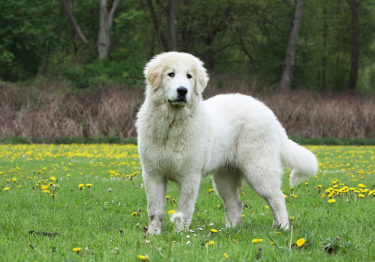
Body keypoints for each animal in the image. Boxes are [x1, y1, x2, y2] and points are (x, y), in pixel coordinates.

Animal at [137, 52, 318, 234]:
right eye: (171, 74)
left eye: (189, 76)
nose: (182, 90)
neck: (171, 124)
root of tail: (268, 112)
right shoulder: (153, 174)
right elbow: (154, 210)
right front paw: (153, 234)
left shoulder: (190, 176)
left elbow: (184, 209)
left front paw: (180, 234)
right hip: (225, 177)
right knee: (234, 203)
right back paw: (231, 230)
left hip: (258, 169)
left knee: (277, 197)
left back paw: (282, 227)